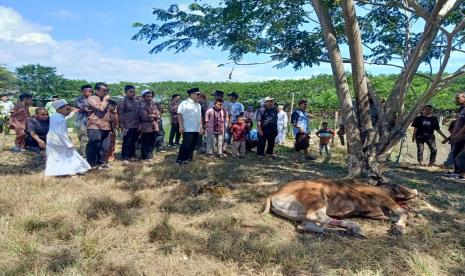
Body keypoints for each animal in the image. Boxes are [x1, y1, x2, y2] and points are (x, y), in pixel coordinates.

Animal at [260, 179, 416, 235]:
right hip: (317, 195)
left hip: (300, 215)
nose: (415, 191)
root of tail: (273, 194)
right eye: (398, 184)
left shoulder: (380, 214)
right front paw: (399, 228)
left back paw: (341, 230)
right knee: (316, 217)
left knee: (305, 226)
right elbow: (404, 212)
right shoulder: (381, 197)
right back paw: (354, 227)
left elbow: (397, 215)